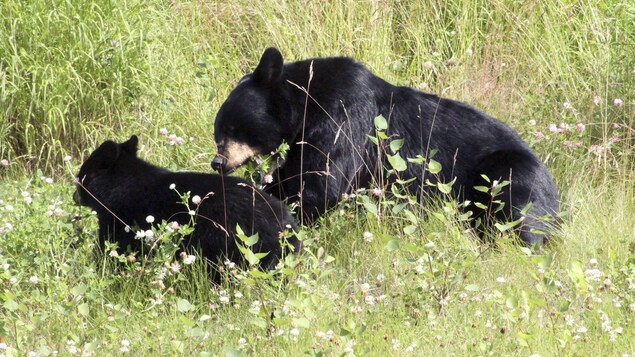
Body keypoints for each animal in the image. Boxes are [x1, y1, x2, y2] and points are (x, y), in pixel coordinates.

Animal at [73, 135, 302, 268]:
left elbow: (113, 249)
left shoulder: (121, 219)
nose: (74, 196)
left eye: (80, 177)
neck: (119, 186)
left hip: (229, 240)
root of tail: (287, 226)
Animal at [211, 47, 560, 243]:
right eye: (218, 132)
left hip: (508, 173)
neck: (306, 103)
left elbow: (321, 182)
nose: (218, 163)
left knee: (519, 210)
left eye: (232, 128)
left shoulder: (343, 118)